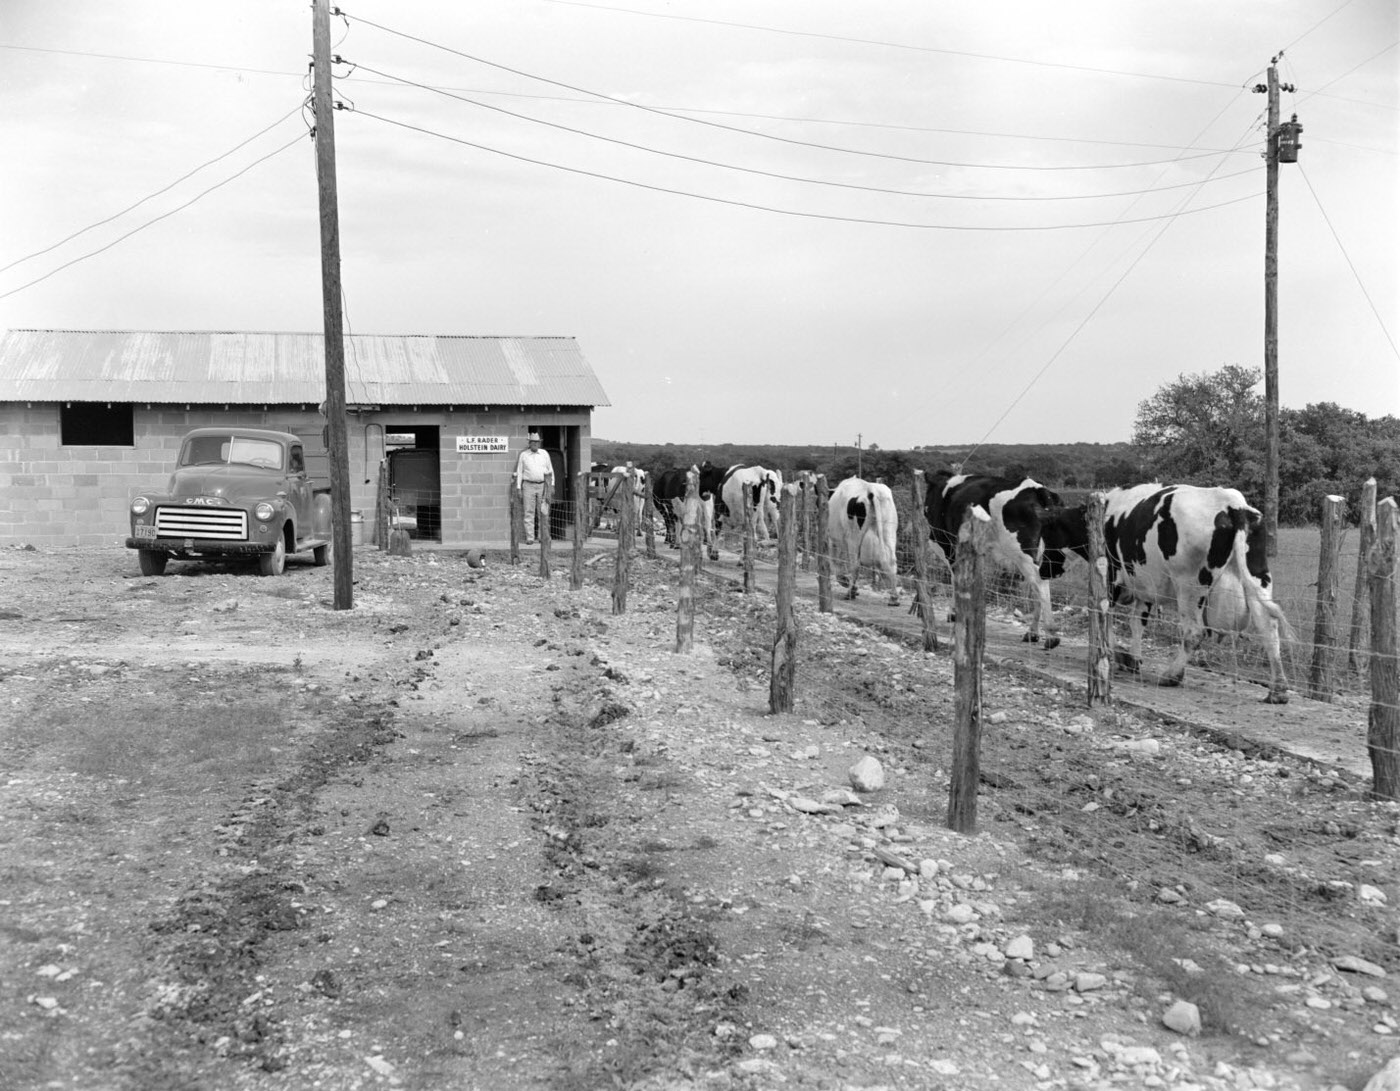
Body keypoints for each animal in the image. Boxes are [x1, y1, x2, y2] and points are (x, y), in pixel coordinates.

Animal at [823, 476, 901, 605]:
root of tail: (870, 488)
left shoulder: (833, 538)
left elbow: (834, 560)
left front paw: (844, 581)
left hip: (854, 536)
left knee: (855, 563)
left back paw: (850, 592)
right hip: (889, 531)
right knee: (891, 562)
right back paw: (894, 598)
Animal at [924, 470, 1064, 649]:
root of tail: (1037, 488)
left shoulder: (949, 547)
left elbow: (956, 579)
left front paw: (955, 613)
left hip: (1021, 554)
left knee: (1039, 583)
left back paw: (1051, 636)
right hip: (1042, 555)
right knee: (1038, 585)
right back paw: (1032, 633)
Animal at [1103, 481, 1288, 703]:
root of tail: (1233, 503)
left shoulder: (1112, 575)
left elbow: (1106, 614)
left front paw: (1114, 654)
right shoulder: (1145, 587)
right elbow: (1136, 621)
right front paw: (1132, 660)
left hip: (1189, 584)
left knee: (1194, 631)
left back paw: (1172, 675)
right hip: (1256, 576)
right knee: (1268, 626)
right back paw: (1278, 691)